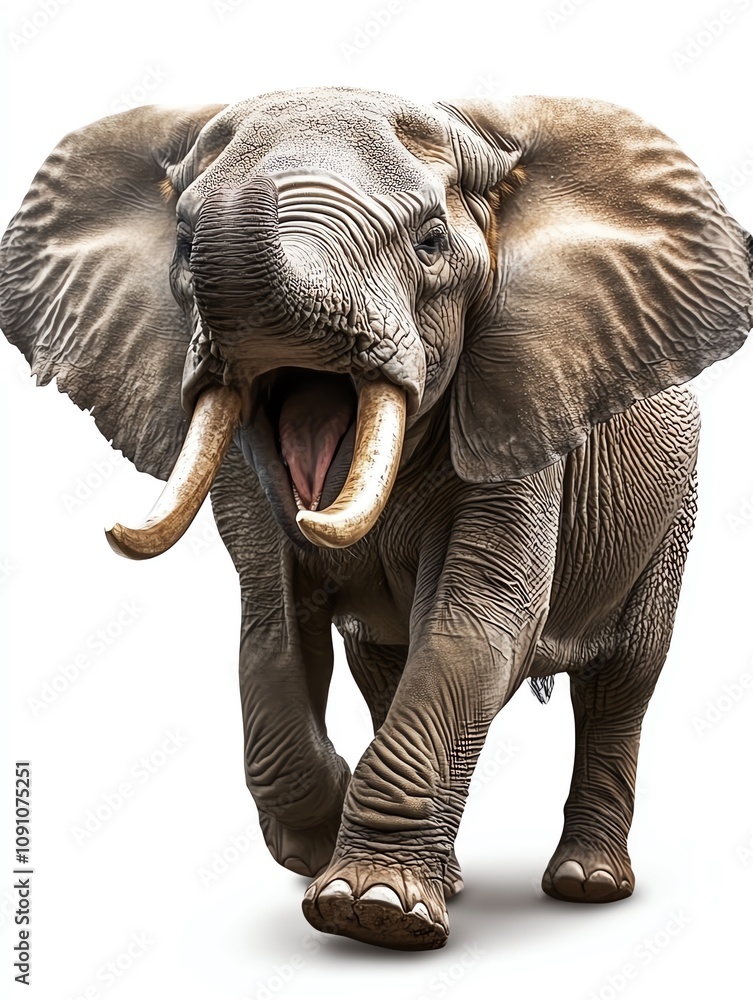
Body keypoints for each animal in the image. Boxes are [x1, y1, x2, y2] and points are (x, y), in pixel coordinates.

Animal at [1, 87, 751, 952]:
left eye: (430, 242)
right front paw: (319, 837)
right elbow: (271, 622)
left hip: (672, 513)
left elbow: (477, 622)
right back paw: (446, 876)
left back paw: (585, 885)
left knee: (623, 680)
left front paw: (371, 910)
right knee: (383, 666)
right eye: (183, 246)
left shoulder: (517, 415)